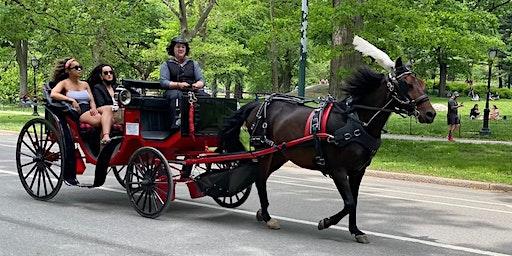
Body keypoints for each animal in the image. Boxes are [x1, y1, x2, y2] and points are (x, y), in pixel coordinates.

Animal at [219, 58, 436, 244]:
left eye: (422, 83)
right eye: (407, 84)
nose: (430, 113)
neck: (357, 122)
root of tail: (258, 103)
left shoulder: (358, 171)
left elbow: (354, 201)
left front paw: (355, 231)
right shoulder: (338, 169)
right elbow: (349, 202)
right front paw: (326, 222)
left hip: (279, 154)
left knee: (260, 177)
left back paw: (262, 213)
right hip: (264, 150)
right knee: (260, 180)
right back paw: (267, 216)